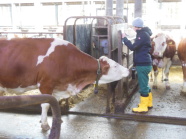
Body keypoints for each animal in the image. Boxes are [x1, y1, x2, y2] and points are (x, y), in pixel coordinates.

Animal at [0, 37, 129, 130]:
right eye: (115, 66)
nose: (128, 70)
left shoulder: (57, 87)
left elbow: (54, 103)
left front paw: (58, 120)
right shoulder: (45, 84)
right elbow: (46, 104)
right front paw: (45, 124)